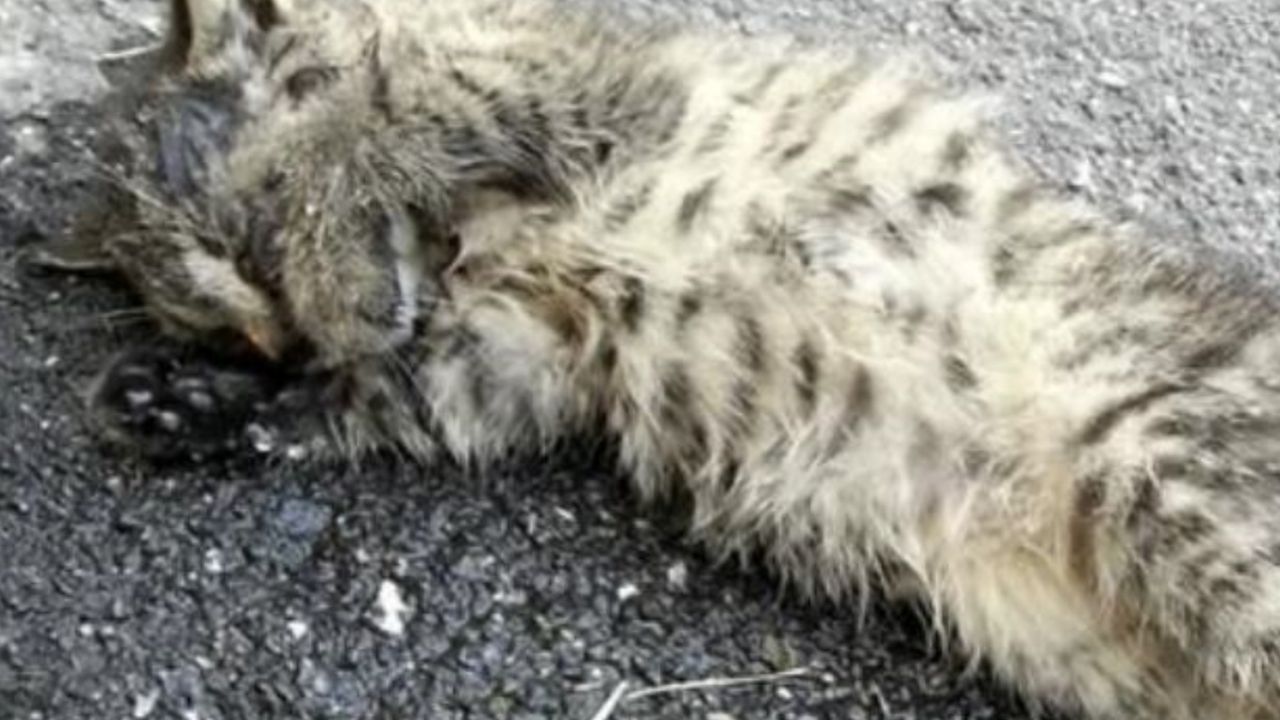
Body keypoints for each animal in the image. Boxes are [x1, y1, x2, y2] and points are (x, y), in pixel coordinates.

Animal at [32, 0, 1280, 712]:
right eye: (219, 323)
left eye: (256, 248)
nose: (275, 335)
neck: (470, 243)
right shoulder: (513, 355)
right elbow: (370, 396)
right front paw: (178, 399)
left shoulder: (597, 91)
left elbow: (396, 110)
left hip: (1166, 479)